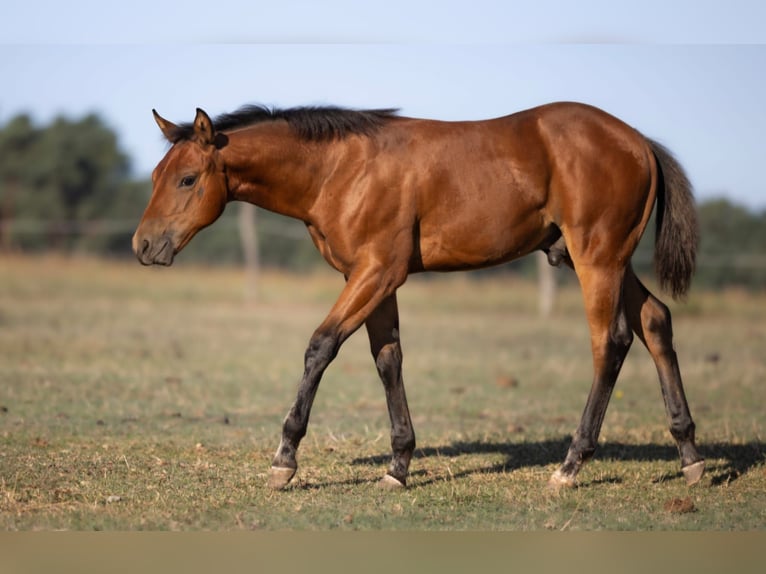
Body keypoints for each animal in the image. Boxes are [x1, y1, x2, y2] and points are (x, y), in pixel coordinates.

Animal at [132, 101, 705, 491]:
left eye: (187, 179)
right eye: (157, 175)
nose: (143, 245)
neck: (340, 169)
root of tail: (639, 141)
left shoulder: (377, 272)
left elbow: (320, 347)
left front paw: (285, 459)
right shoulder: (370, 278)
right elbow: (388, 360)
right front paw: (398, 466)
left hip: (596, 259)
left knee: (610, 343)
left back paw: (570, 464)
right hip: (610, 261)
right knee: (656, 321)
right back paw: (690, 454)